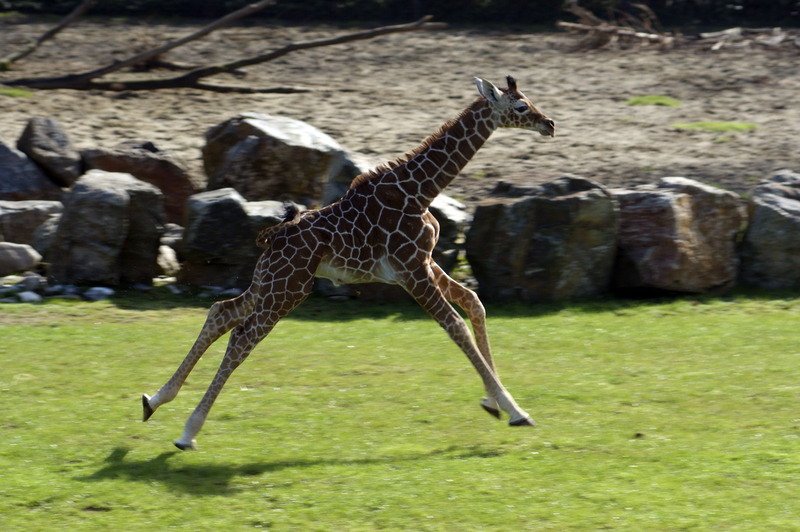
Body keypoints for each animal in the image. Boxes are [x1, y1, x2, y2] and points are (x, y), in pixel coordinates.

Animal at [142, 75, 555, 450]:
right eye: (522, 107)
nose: (549, 124)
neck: (420, 191)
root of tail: (273, 236)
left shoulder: (423, 262)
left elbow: (474, 302)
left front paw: (493, 402)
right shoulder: (411, 269)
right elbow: (456, 326)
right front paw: (517, 411)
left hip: (270, 280)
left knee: (220, 312)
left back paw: (154, 400)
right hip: (289, 288)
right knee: (242, 337)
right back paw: (187, 432)